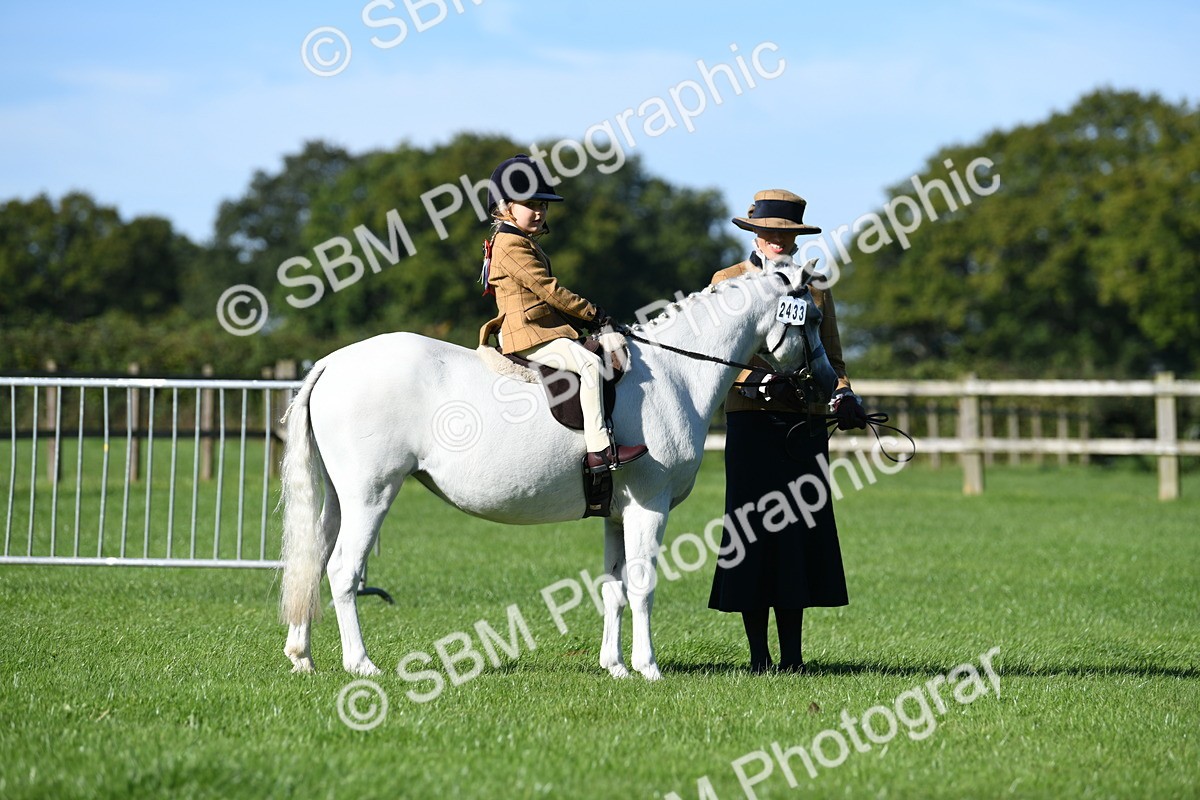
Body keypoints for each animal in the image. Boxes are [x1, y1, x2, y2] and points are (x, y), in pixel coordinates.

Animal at [279, 262, 820, 681]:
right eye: (811, 317)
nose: (826, 381)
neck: (676, 375)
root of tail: (333, 363)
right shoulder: (649, 507)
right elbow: (642, 584)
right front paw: (647, 667)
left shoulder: (617, 515)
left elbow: (614, 588)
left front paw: (614, 666)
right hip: (371, 496)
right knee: (342, 570)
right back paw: (360, 664)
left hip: (341, 499)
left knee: (314, 557)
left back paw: (302, 656)